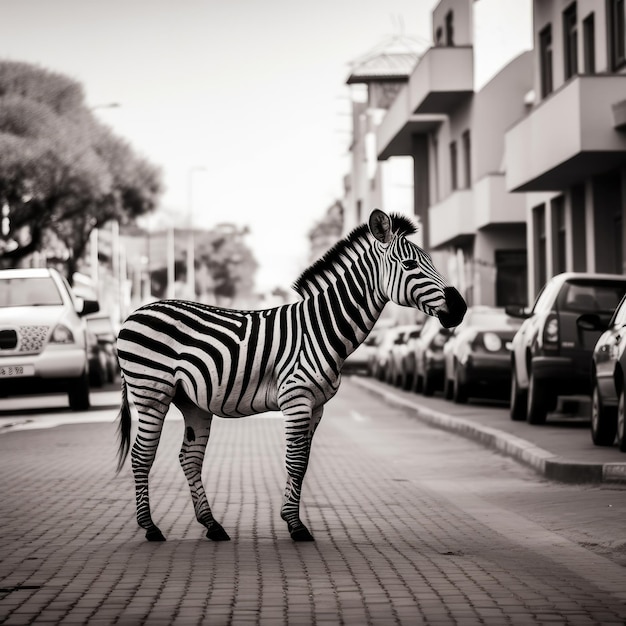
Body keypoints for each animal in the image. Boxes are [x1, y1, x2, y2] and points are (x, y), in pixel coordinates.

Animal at [116, 210, 464, 540]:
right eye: (410, 264)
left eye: (431, 261)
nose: (460, 308)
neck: (321, 327)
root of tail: (133, 314)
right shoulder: (296, 399)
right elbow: (295, 461)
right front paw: (296, 526)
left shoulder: (317, 405)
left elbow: (304, 462)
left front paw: (290, 518)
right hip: (151, 393)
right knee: (141, 456)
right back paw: (150, 528)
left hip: (191, 402)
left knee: (189, 458)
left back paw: (212, 525)